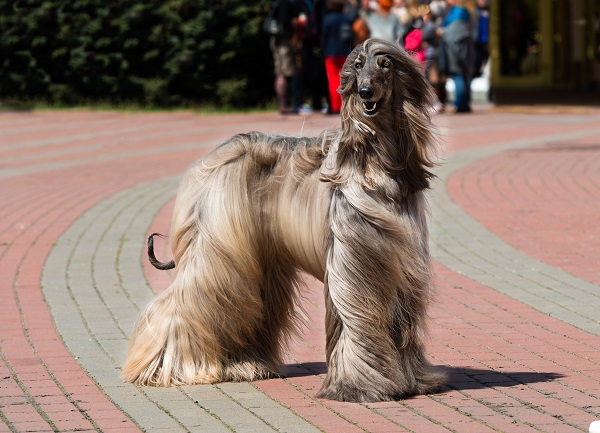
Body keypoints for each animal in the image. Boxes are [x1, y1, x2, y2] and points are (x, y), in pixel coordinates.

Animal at [124, 38, 446, 402]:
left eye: (385, 65)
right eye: (357, 65)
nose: (364, 92)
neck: (375, 162)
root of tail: (212, 159)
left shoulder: (398, 263)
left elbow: (400, 322)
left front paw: (413, 381)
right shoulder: (353, 262)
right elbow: (355, 319)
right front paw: (358, 386)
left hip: (259, 260)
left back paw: (243, 364)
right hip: (217, 250)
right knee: (188, 300)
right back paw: (164, 368)